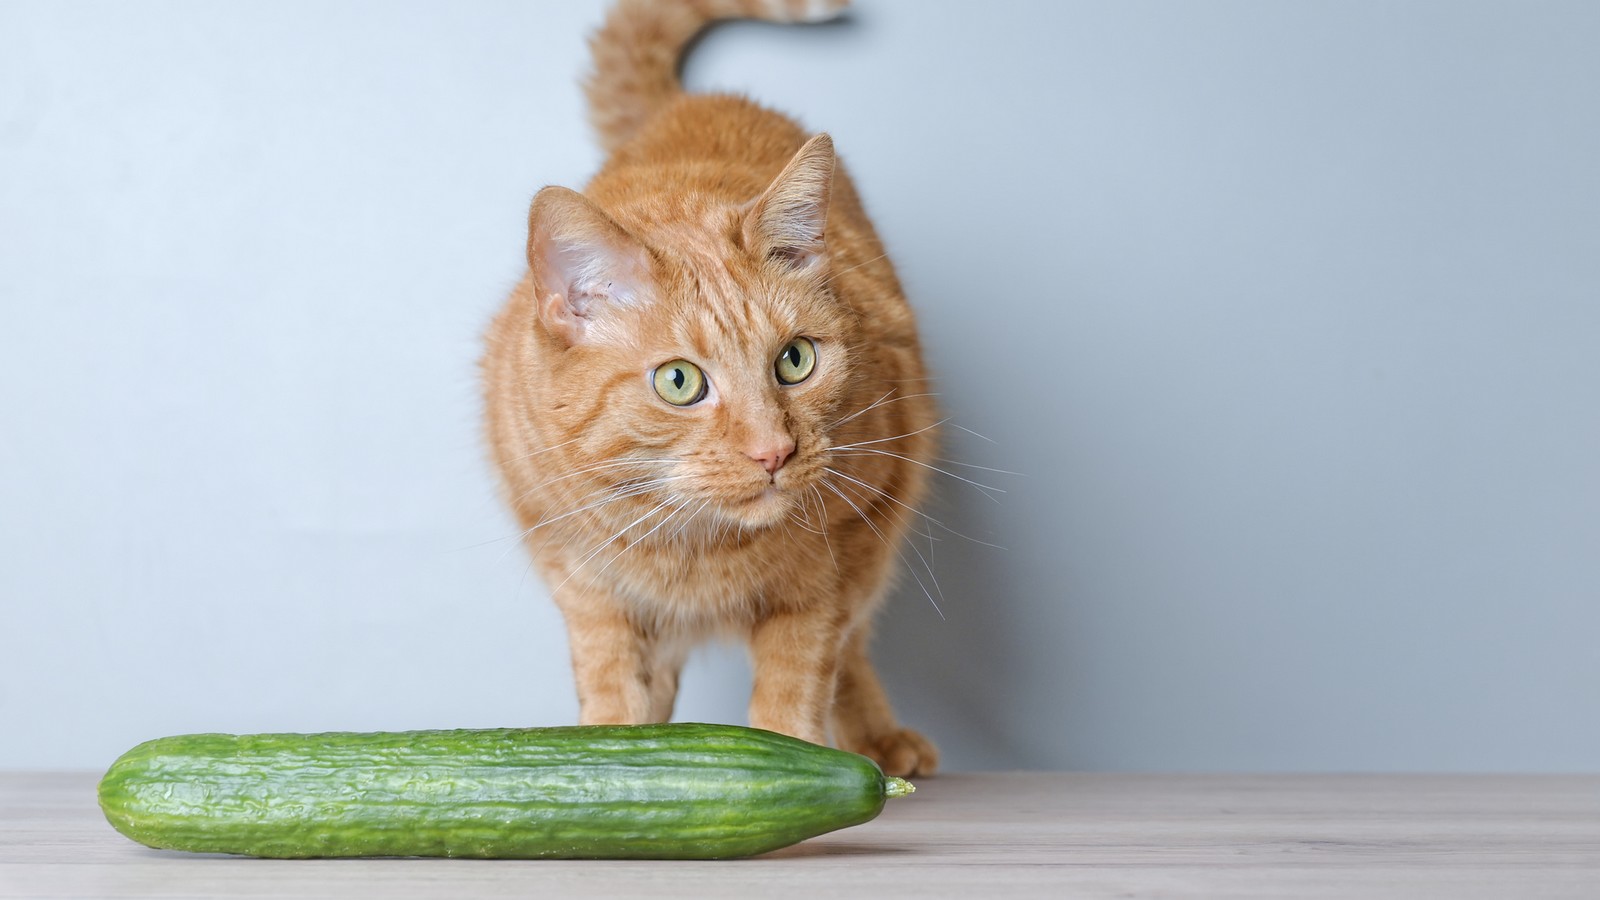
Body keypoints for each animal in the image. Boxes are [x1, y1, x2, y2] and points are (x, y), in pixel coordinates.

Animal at [480, 0, 940, 775]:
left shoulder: (841, 558)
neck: (693, 541)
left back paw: (880, 740)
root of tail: (690, 102)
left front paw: (798, 763)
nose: (775, 452)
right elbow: (613, 682)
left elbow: (802, 679)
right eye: (679, 382)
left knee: (854, 649)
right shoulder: (583, 580)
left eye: (795, 361)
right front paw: (609, 758)